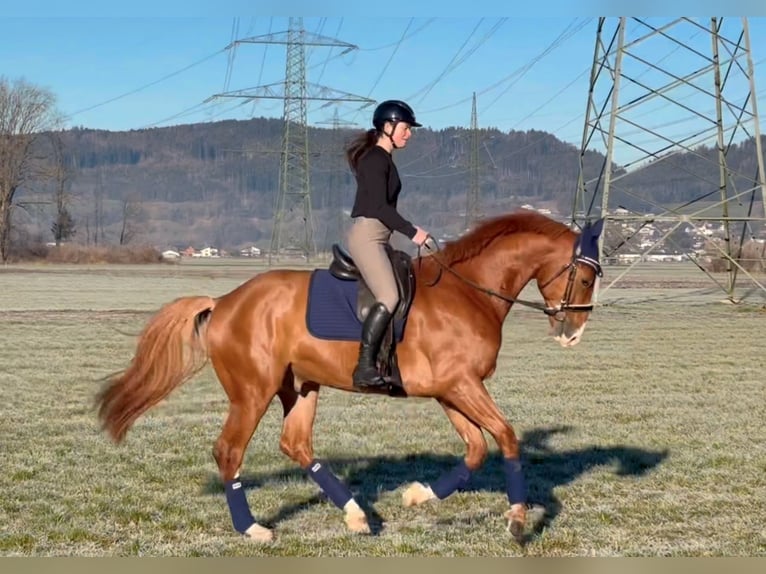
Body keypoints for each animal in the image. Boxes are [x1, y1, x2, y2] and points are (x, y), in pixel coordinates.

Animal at [94, 209, 608, 548]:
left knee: (296, 444)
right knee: (229, 452)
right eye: (585, 278)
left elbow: (477, 448)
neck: (468, 291)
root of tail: (223, 302)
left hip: (301, 387)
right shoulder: (462, 386)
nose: (573, 333)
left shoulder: (450, 390)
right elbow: (505, 436)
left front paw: (419, 496)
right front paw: (518, 520)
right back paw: (253, 528)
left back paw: (358, 515)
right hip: (253, 391)